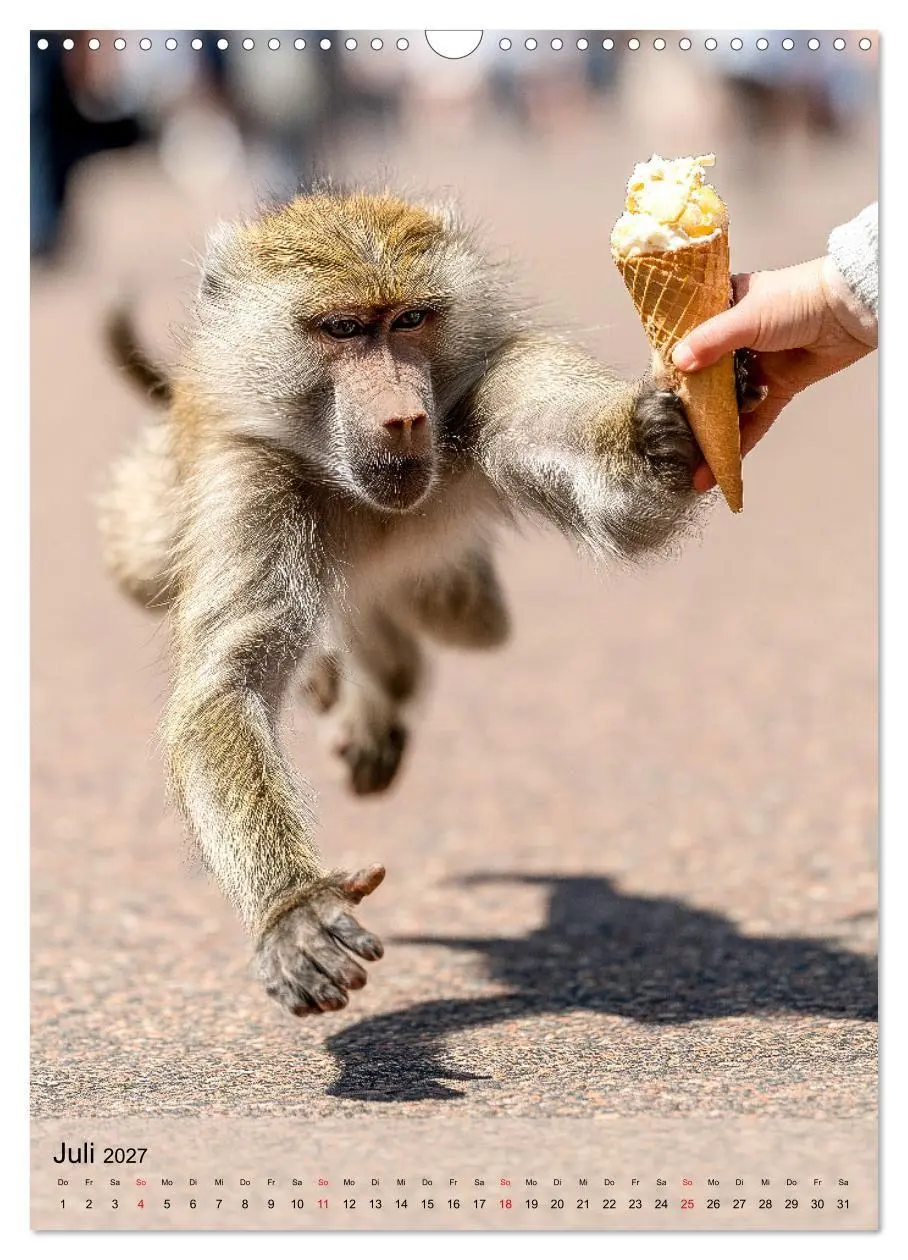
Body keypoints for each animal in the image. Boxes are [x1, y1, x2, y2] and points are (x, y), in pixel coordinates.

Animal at [98, 186, 709, 1019]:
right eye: (344, 329)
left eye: (411, 320)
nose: (403, 417)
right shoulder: (249, 474)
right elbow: (226, 687)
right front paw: (294, 911)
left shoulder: (498, 378)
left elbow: (625, 505)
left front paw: (667, 433)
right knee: (143, 565)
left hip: (444, 585)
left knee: (464, 615)